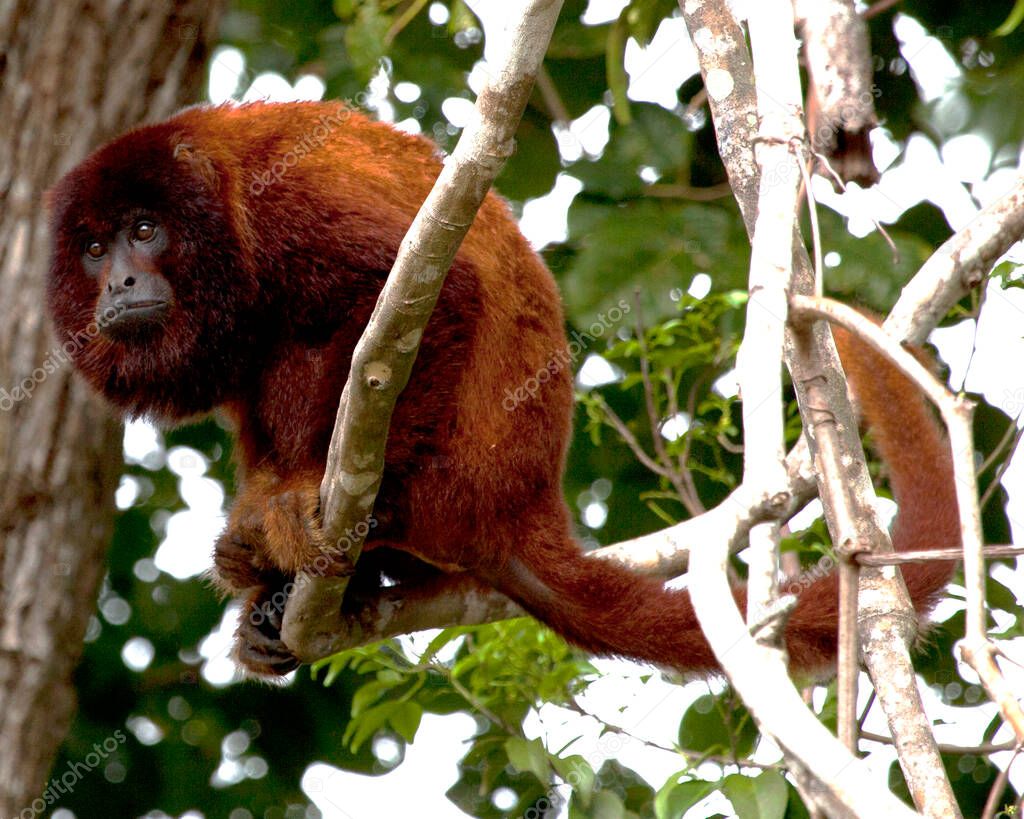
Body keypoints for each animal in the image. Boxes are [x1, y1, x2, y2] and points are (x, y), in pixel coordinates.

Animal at [46, 101, 959, 677]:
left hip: (457, 483)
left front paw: (303, 504)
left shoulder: (286, 205)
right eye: (91, 247)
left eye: (144, 229)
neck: (220, 200)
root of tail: (526, 504)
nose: (118, 282)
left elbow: (439, 299)